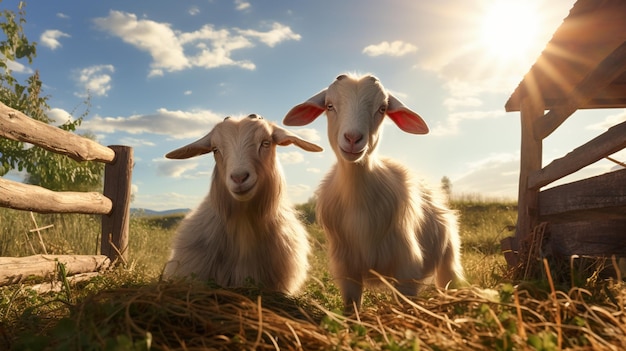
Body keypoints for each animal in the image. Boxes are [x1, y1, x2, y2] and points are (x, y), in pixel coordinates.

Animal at [282, 73, 464, 310]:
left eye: (382, 108)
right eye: (330, 106)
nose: (352, 138)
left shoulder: (407, 269)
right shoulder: (346, 269)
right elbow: (352, 308)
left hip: (449, 253)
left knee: (448, 280)